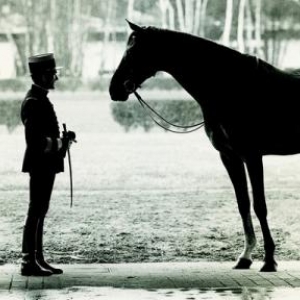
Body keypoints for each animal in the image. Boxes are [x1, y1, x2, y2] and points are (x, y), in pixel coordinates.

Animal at [108, 19, 300, 272]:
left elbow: (260, 206)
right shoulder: (229, 156)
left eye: (132, 51)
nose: (114, 89)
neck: (232, 87)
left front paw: (269, 259)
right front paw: (246, 256)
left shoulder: (252, 155)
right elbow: (243, 203)